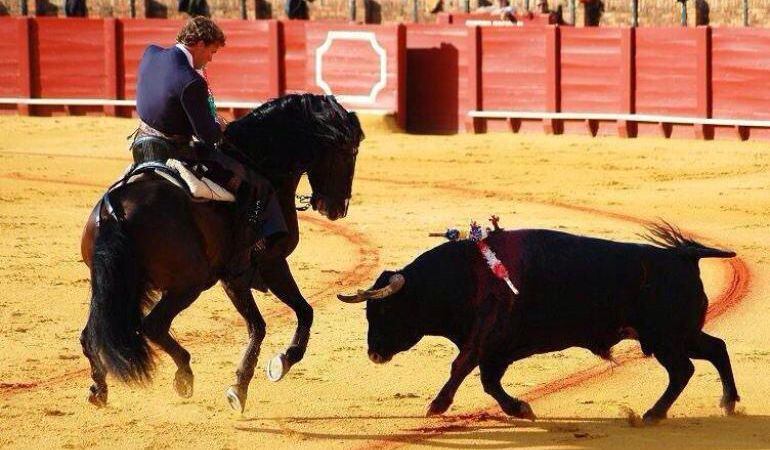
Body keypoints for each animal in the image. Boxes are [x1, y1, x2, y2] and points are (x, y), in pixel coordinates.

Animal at [79, 94, 364, 412]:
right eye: (350, 152)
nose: (337, 208)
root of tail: (114, 210)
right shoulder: (262, 265)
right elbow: (266, 324)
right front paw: (244, 385)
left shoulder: (250, 272)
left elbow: (302, 312)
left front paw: (279, 363)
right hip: (188, 285)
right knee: (152, 325)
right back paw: (184, 375)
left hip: (115, 287)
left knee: (92, 334)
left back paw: (99, 389)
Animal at [336, 227, 736, 424]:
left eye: (384, 312)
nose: (374, 353)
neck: (463, 277)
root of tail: (683, 255)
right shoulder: (495, 350)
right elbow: (487, 381)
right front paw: (520, 409)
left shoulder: (485, 341)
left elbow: (463, 369)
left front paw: (437, 405)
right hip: (678, 335)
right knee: (715, 349)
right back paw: (728, 403)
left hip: (665, 338)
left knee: (683, 369)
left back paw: (655, 413)